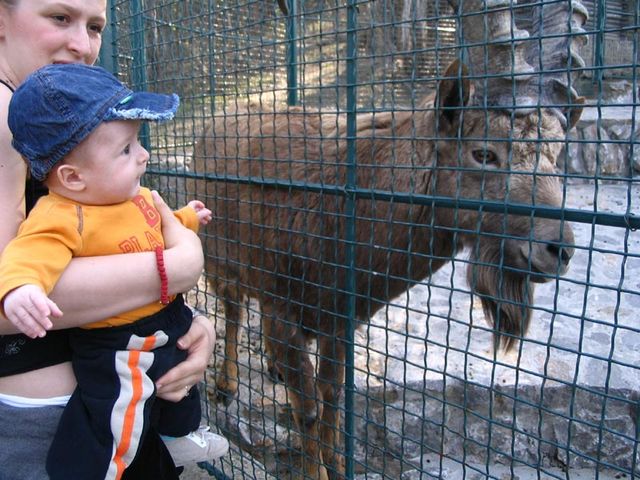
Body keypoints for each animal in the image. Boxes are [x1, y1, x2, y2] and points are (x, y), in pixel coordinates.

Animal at [189, 1, 588, 478]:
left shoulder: (339, 321)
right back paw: (226, 385)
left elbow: (332, 396)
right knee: (231, 311)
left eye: (557, 155)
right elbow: (308, 409)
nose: (558, 248)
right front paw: (317, 467)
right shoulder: (284, 307)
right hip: (220, 257)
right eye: (484, 152)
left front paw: (338, 461)